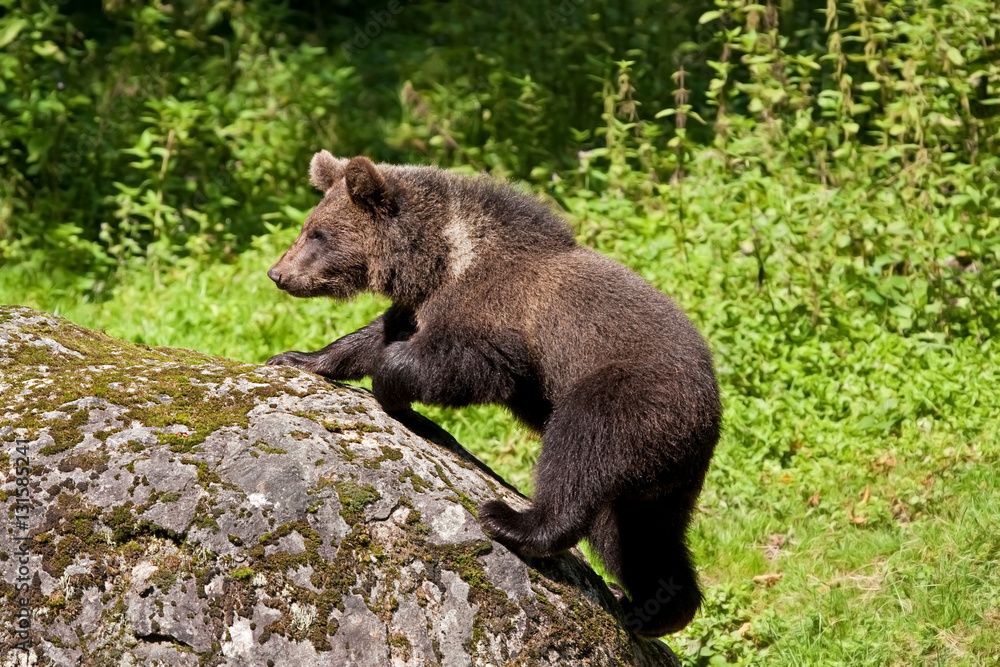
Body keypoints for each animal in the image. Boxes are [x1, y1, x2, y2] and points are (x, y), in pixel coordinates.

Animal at [266, 150, 721, 636]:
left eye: (318, 233)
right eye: (307, 225)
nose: (278, 273)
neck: (443, 261)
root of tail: (709, 410)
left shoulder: (499, 317)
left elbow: (466, 364)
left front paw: (394, 392)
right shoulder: (421, 305)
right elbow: (376, 335)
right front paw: (300, 357)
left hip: (627, 395)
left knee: (580, 454)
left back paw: (513, 522)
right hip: (660, 476)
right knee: (638, 534)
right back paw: (653, 605)